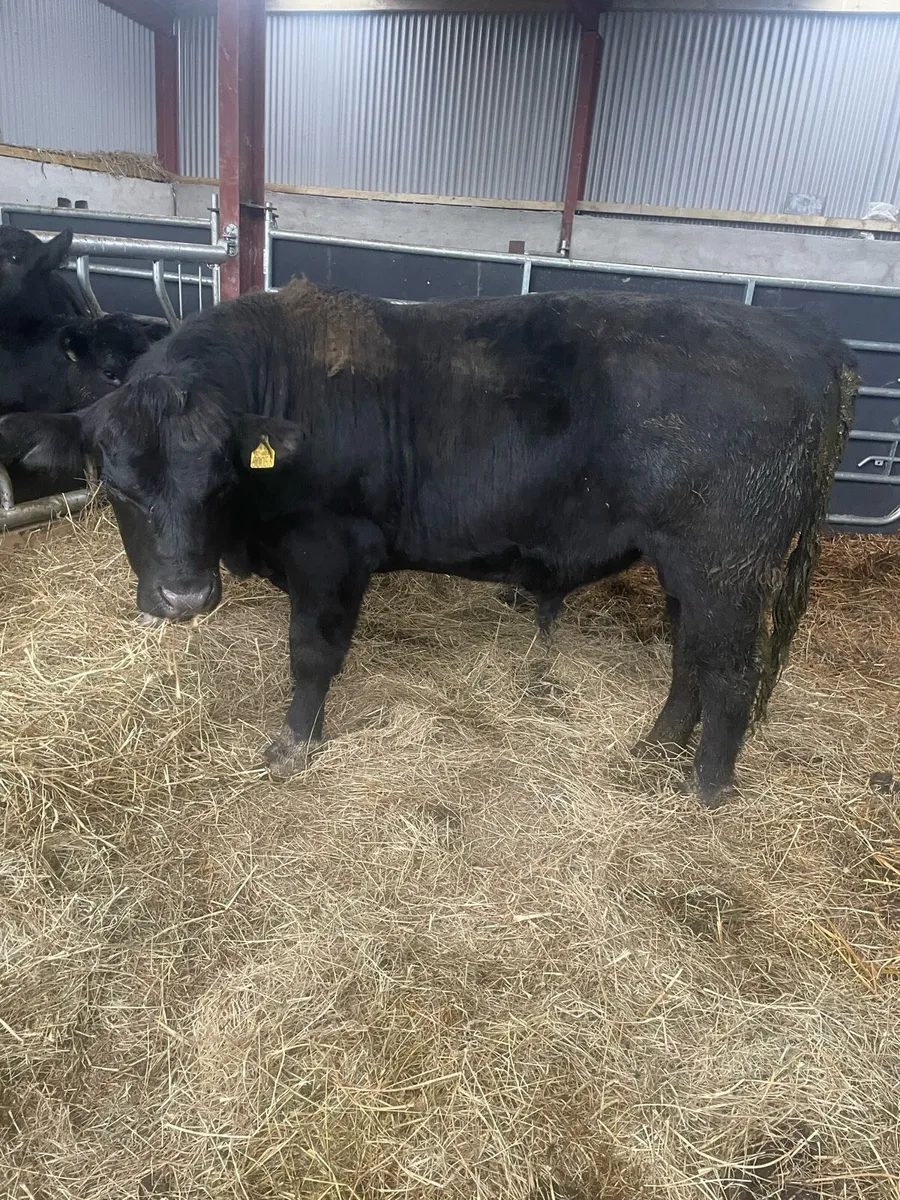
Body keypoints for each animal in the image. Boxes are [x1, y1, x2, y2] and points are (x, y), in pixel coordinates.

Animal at [0, 280, 857, 808]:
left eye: (219, 480)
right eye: (116, 485)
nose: (184, 595)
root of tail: (806, 338)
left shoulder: (331, 552)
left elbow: (312, 654)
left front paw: (293, 743)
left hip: (728, 567)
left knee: (732, 671)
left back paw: (705, 790)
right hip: (687, 566)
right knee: (690, 658)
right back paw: (654, 750)